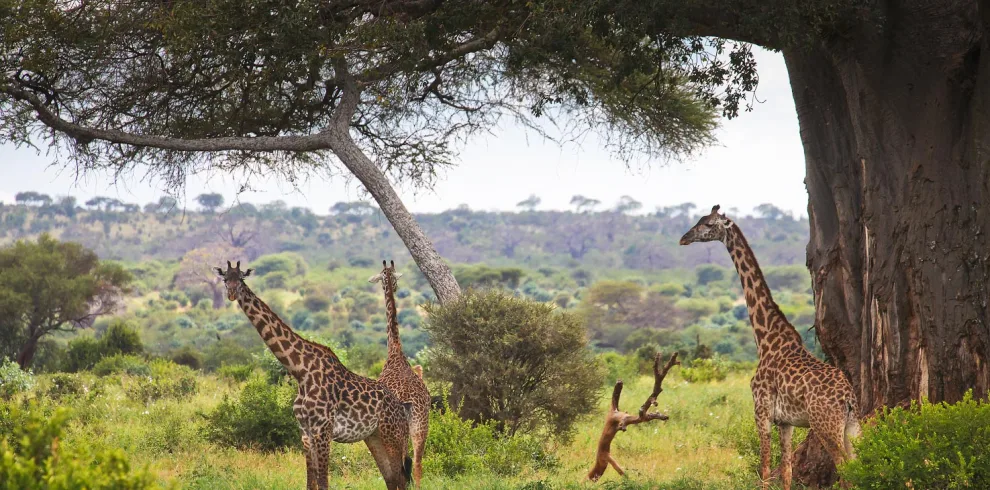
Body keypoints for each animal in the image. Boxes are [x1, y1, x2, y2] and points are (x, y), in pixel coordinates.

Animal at [217, 260, 414, 490]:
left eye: (241, 278)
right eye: (225, 278)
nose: (231, 293)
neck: (301, 372)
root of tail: (401, 408)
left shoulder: (323, 430)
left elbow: (323, 482)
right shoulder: (305, 431)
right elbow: (311, 483)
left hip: (393, 437)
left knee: (401, 478)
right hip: (375, 437)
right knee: (391, 479)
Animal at [370, 260, 432, 486]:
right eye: (393, 278)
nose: (394, 288)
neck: (395, 349)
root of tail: (409, 402)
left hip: (397, 430)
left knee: (404, 465)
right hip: (421, 423)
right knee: (418, 463)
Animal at [680, 207, 860, 490]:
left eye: (708, 224)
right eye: (698, 220)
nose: (684, 238)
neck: (765, 338)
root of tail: (848, 398)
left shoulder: (761, 411)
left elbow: (764, 469)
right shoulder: (785, 422)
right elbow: (786, 471)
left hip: (826, 425)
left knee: (844, 469)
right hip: (853, 427)